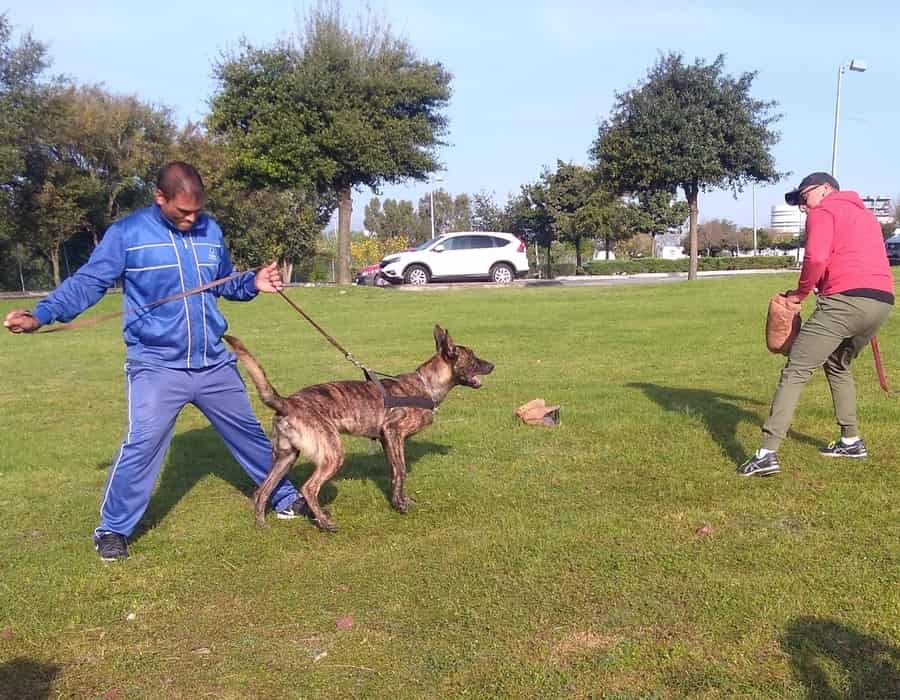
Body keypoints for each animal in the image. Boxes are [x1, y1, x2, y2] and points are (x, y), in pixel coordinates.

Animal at [222, 326, 496, 532]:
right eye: (473, 358)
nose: (493, 365)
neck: (427, 385)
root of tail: (287, 403)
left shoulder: (387, 441)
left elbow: (395, 473)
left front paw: (400, 501)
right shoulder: (393, 433)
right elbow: (402, 471)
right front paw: (401, 506)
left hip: (285, 458)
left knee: (262, 490)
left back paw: (261, 525)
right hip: (332, 454)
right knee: (309, 488)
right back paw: (325, 522)